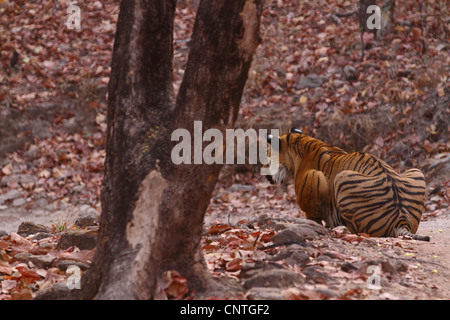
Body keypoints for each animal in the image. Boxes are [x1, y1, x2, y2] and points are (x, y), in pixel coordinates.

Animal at [264, 126, 428, 241]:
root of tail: (401, 220)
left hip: (341, 178)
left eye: (267, 155)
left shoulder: (312, 186)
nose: (264, 172)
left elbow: (314, 220)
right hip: (417, 171)